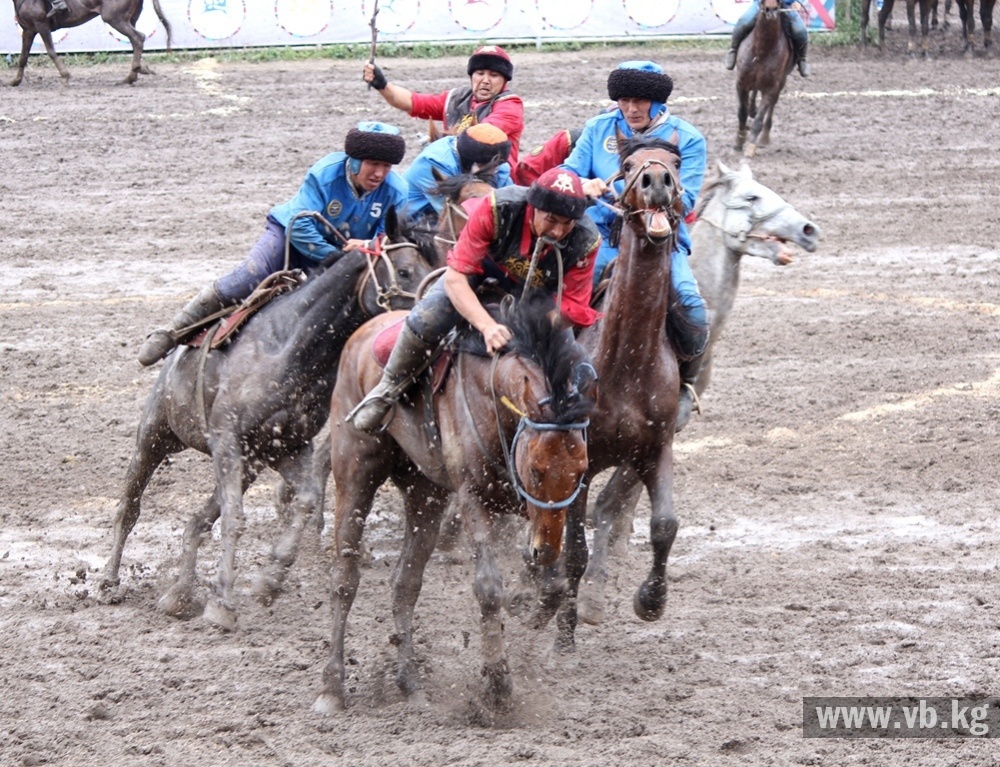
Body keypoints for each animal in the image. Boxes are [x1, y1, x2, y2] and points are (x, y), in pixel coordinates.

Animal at [314, 292, 592, 712]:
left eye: (580, 470)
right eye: (537, 469)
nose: (543, 549)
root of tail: (361, 334)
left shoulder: (555, 511)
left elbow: (557, 583)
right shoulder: (472, 499)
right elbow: (489, 589)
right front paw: (497, 683)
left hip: (425, 494)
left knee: (405, 582)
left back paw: (409, 681)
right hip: (354, 474)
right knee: (343, 580)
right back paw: (332, 687)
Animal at [732, 0, 792, 159]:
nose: (771, 10)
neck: (762, 49)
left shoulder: (771, 88)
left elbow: (759, 118)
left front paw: (750, 147)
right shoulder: (741, 83)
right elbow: (742, 112)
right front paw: (739, 141)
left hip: (780, 82)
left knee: (771, 106)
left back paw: (765, 136)